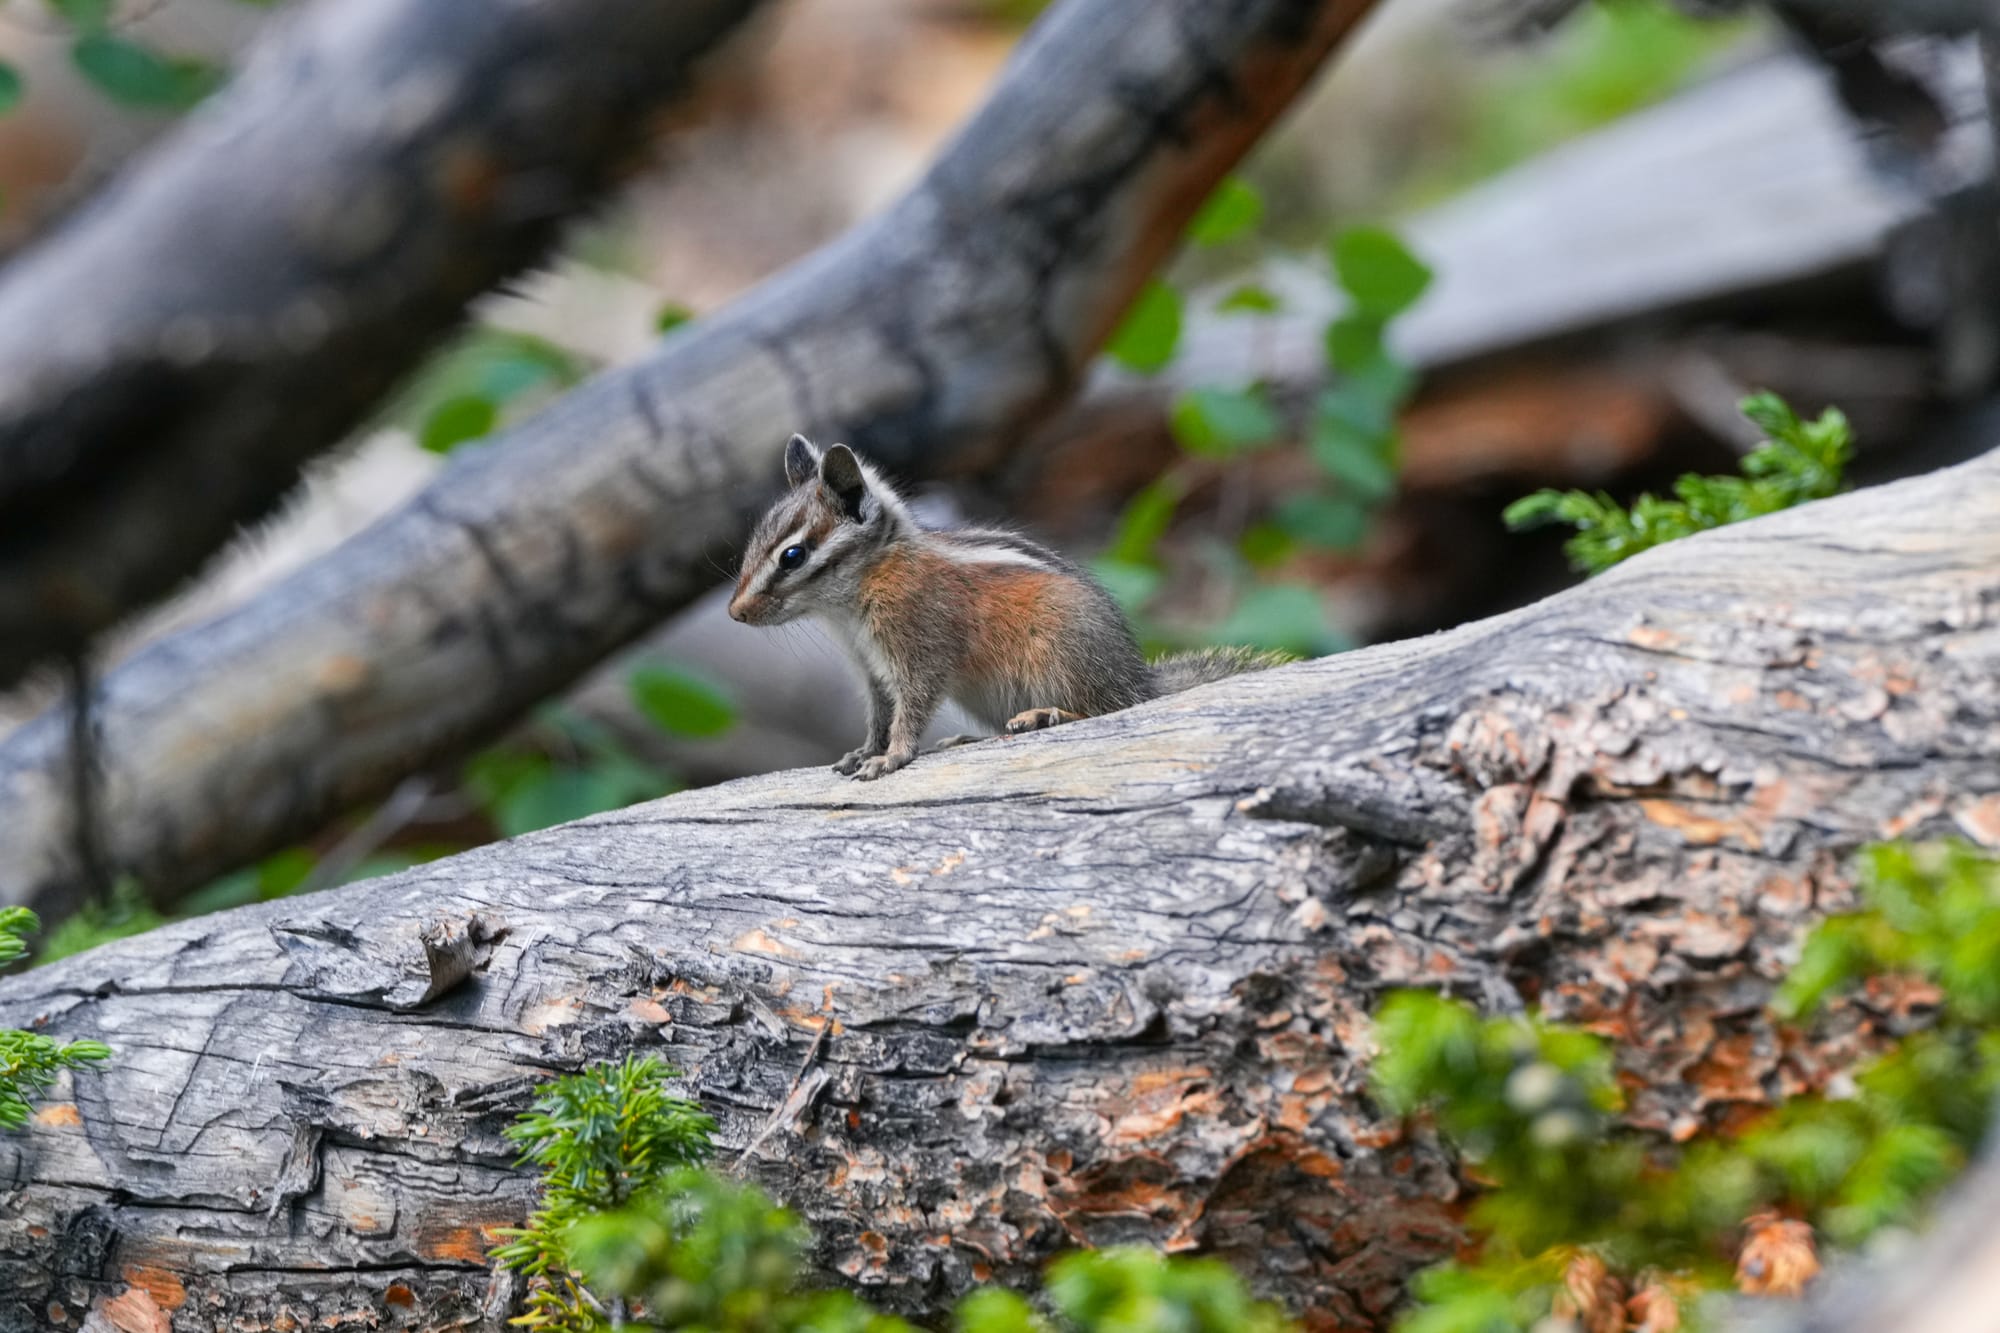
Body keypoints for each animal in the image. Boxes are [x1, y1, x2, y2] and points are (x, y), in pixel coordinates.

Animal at [728, 434, 1286, 780]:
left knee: (1106, 710)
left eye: (793, 555)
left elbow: (912, 706)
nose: (736, 613)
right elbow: (880, 714)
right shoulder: (870, 668)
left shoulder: (919, 645)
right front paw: (867, 750)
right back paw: (968, 740)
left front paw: (892, 757)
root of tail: (1137, 679)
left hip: (1062, 655)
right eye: (754, 542)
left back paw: (1046, 715)